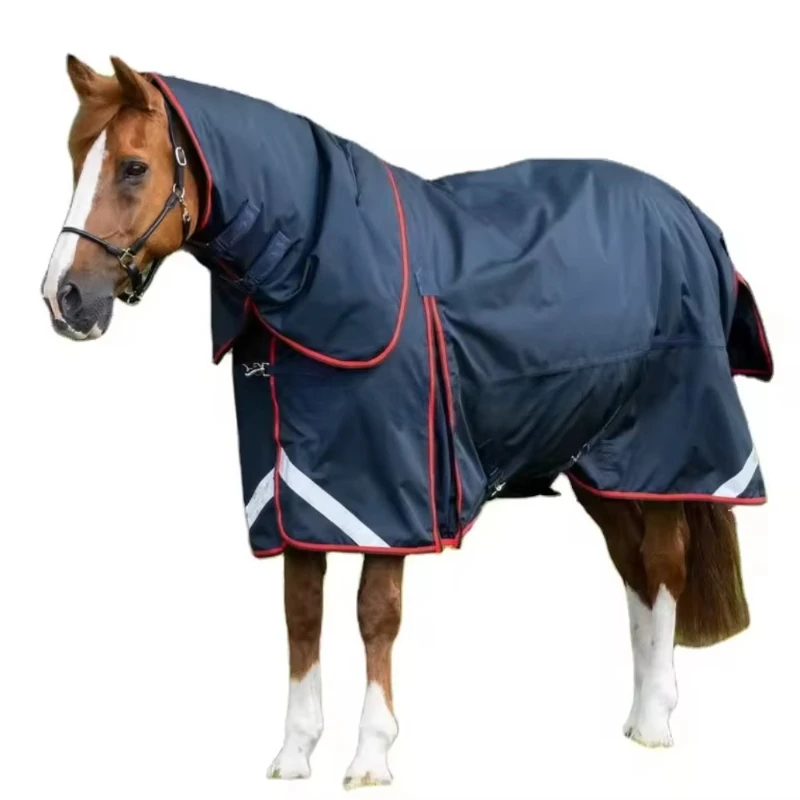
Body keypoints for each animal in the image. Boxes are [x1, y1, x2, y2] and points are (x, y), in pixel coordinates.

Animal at [41, 55, 773, 789]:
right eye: (77, 158)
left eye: (134, 167)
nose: (63, 297)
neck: (314, 268)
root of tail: (694, 220)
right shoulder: (290, 492)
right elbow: (300, 612)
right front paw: (294, 753)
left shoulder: (388, 495)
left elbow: (375, 614)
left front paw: (370, 756)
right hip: (599, 463)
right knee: (634, 569)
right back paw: (637, 712)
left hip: (669, 447)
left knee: (664, 564)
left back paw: (655, 721)